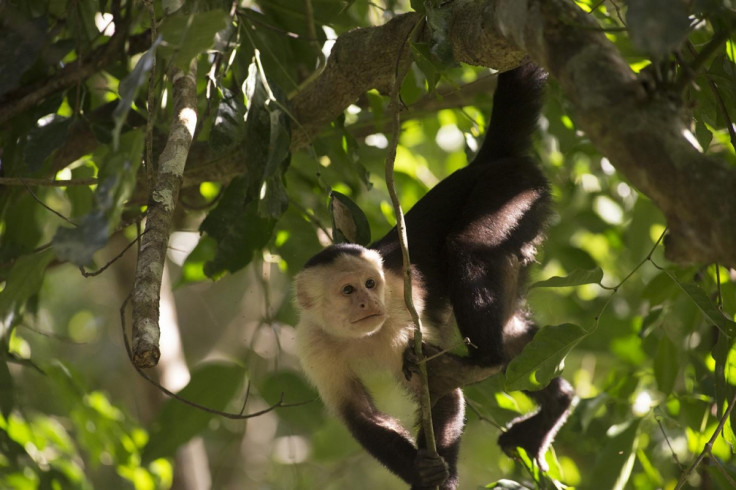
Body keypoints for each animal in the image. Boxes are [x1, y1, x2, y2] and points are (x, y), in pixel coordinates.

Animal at [294, 64, 576, 490]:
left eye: (371, 284)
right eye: (347, 290)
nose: (368, 301)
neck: (361, 336)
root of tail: (485, 161)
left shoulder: (399, 314)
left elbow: (442, 396)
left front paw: (442, 474)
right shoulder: (313, 345)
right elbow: (360, 418)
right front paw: (420, 472)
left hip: (511, 191)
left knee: (467, 249)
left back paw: (482, 362)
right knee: (516, 337)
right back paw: (555, 402)